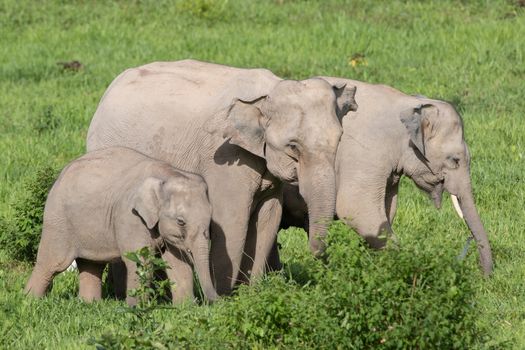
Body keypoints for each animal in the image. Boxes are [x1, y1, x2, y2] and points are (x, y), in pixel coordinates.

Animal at [24, 146, 217, 304]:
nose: (215, 301)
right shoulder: (129, 216)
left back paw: (89, 304)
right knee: (52, 263)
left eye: (210, 220)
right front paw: (135, 308)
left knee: (91, 264)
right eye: (181, 221)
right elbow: (140, 260)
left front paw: (185, 307)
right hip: (58, 220)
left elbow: (177, 263)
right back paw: (30, 301)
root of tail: (60, 175)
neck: (169, 174)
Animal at [87, 58, 356, 294]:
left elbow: (268, 219)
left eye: (340, 139)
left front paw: (250, 294)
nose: (320, 259)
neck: (268, 92)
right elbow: (232, 222)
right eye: (293, 146)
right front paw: (226, 297)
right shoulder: (224, 156)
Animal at [280, 77, 494, 276]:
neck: (408, 102)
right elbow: (356, 207)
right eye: (454, 160)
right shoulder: (365, 155)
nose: (484, 277)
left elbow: (387, 211)